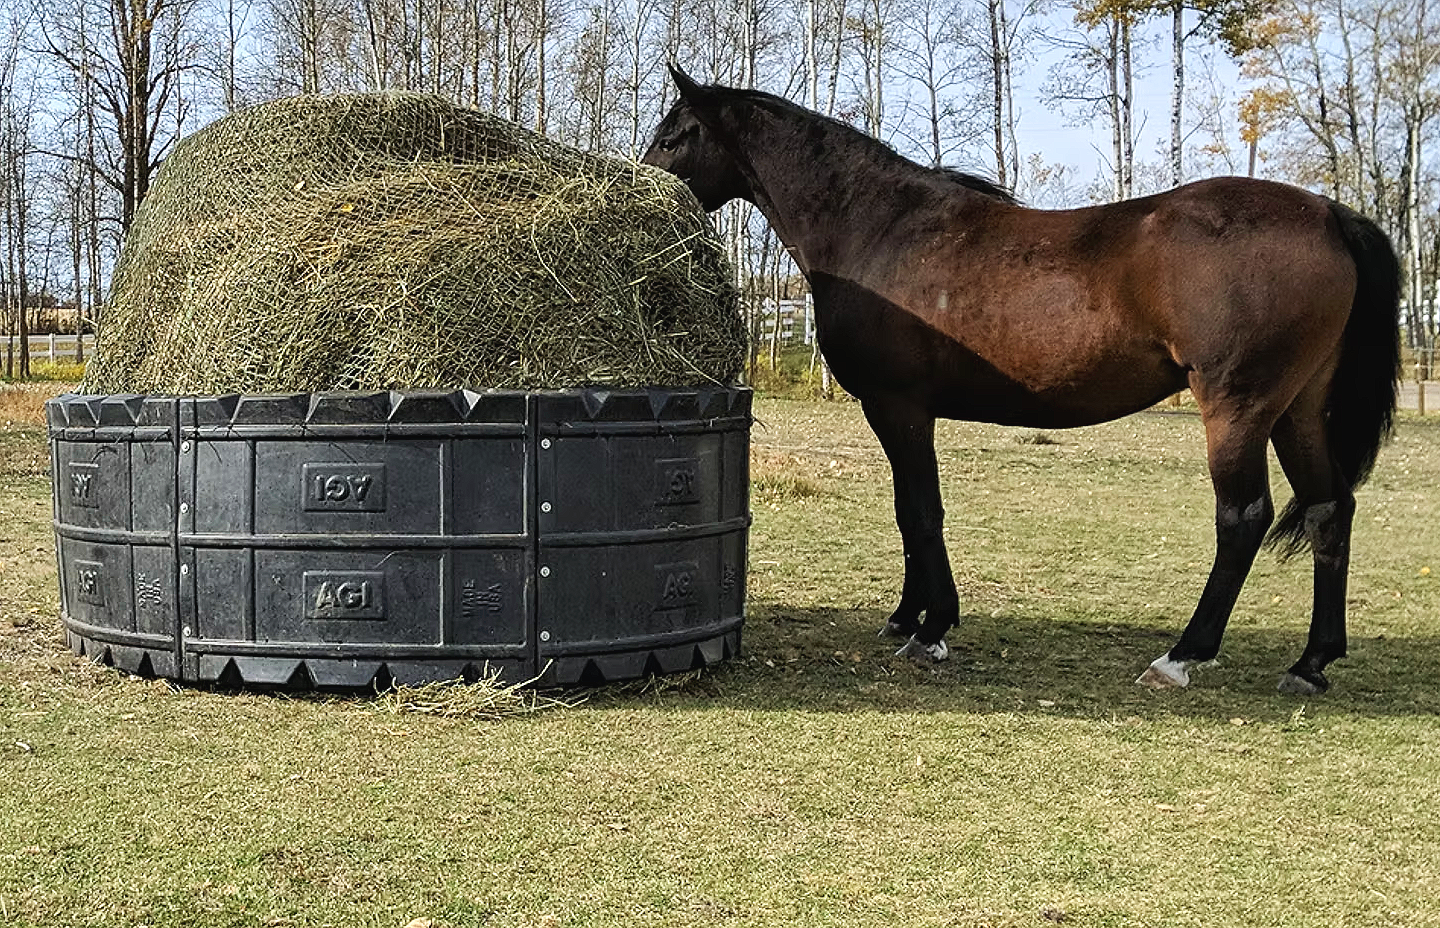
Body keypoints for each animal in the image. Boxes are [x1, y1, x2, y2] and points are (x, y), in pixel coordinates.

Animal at [642, 66, 1401, 694]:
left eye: (674, 134)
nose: (643, 186)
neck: (878, 229)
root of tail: (1329, 213)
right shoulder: (898, 412)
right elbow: (908, 511)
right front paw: (907, 615)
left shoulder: (899, 407)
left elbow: (922, 511)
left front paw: (931, 628)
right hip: (1296, 410)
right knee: (1331, 509)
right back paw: (1311, 662)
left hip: (1238, 409)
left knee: (1243, 519)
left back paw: (1182, 655)